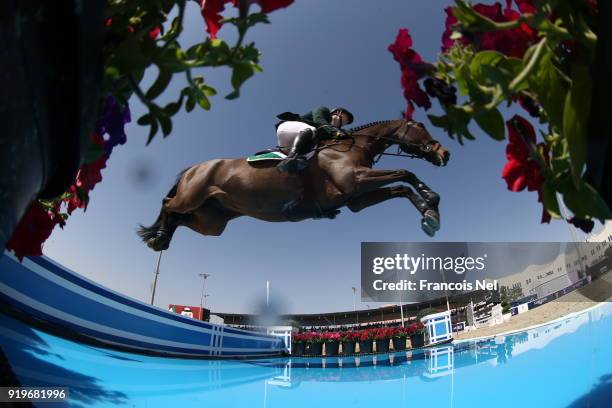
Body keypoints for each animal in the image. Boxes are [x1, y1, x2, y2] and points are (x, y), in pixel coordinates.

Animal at [137, 119, 450, 250]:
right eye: (421, 127)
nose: (444, 153)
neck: (353, 146)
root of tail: (194, 167)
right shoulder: (355, 180)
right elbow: (405, 172)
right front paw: (432, 201)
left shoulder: (355, 199)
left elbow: (402, 187)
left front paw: (430, 215)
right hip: (192, 197)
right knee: (169, 204)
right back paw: (158, 236)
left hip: (212, 221)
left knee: (180, 218)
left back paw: (161, 238)